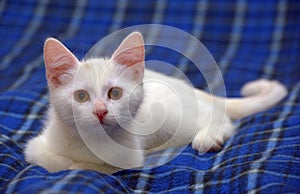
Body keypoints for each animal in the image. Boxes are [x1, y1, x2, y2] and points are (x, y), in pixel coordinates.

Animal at [24, 32, 288, 174]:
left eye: (115, 93)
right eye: (81, 96)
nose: (100, 111)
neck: (92, 143)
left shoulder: (129, 160)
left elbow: (92, 168)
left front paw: (79, 165)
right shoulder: (36, 147)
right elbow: (48, 159)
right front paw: (70, 163)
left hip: (175, 118)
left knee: (215, 115)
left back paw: (209, 136)